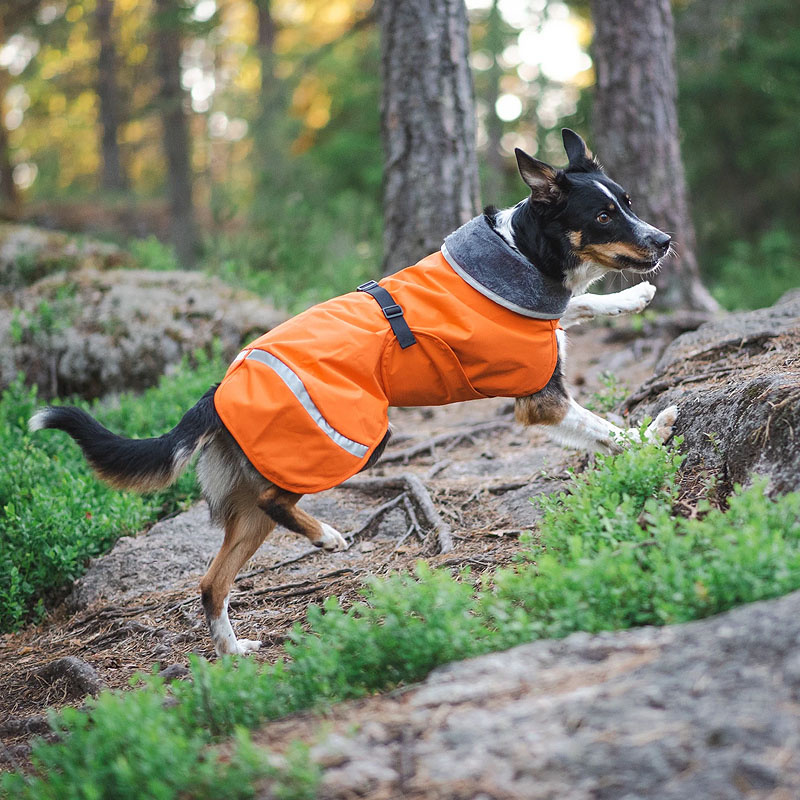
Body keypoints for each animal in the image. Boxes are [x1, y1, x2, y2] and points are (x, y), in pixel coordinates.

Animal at [29, 130, 676, 656]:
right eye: (603, 215)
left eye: (629, 203)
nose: (666, 240)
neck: (522, 255)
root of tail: (216, 391)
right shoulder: (542, 402)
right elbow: (609, 428)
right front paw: (654, 436)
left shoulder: (552, 329)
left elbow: (578, 310)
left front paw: (630, 301)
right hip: (351, 440)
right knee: (277, 503)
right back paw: (328, 536)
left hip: (255, 498)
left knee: (212, 581)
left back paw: (234, 652)